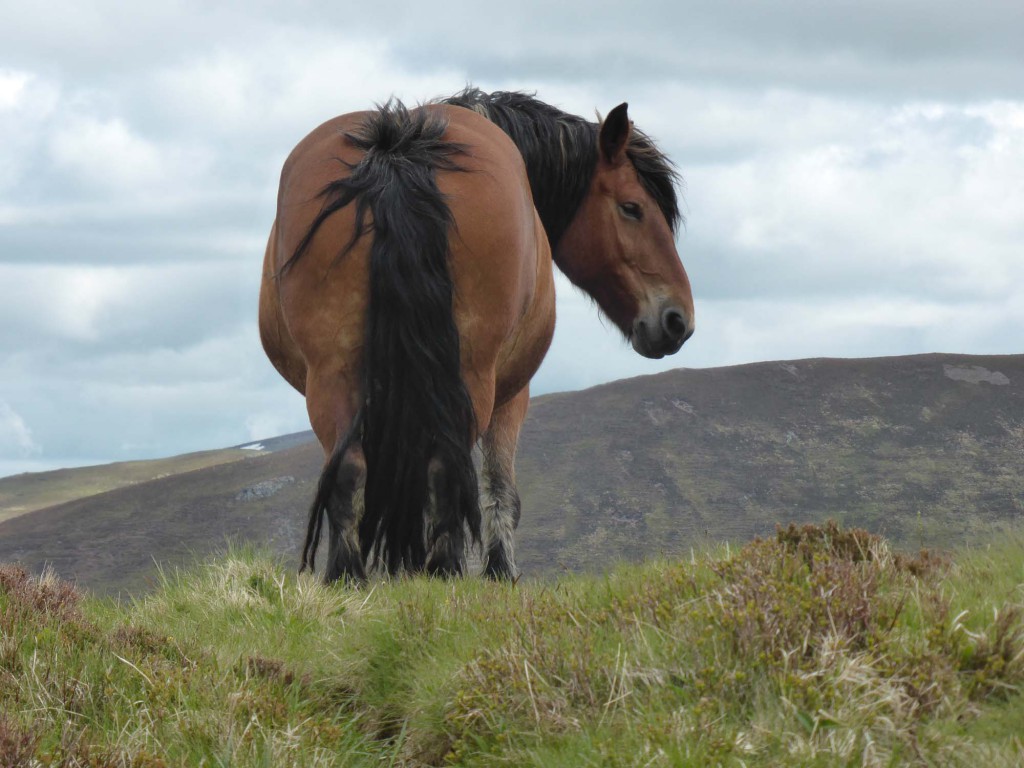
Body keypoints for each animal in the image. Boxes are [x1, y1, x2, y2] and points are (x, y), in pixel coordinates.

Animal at [256, 88, 696, 581]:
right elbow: (501, 489)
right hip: (472, 377)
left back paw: (348, 576)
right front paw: (499, 570)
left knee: (350, 471)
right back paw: (444, 570)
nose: (677, 319)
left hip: (334, 374)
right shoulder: (512, 392)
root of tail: (399, 148)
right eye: (631, 208)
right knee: (444, 468)